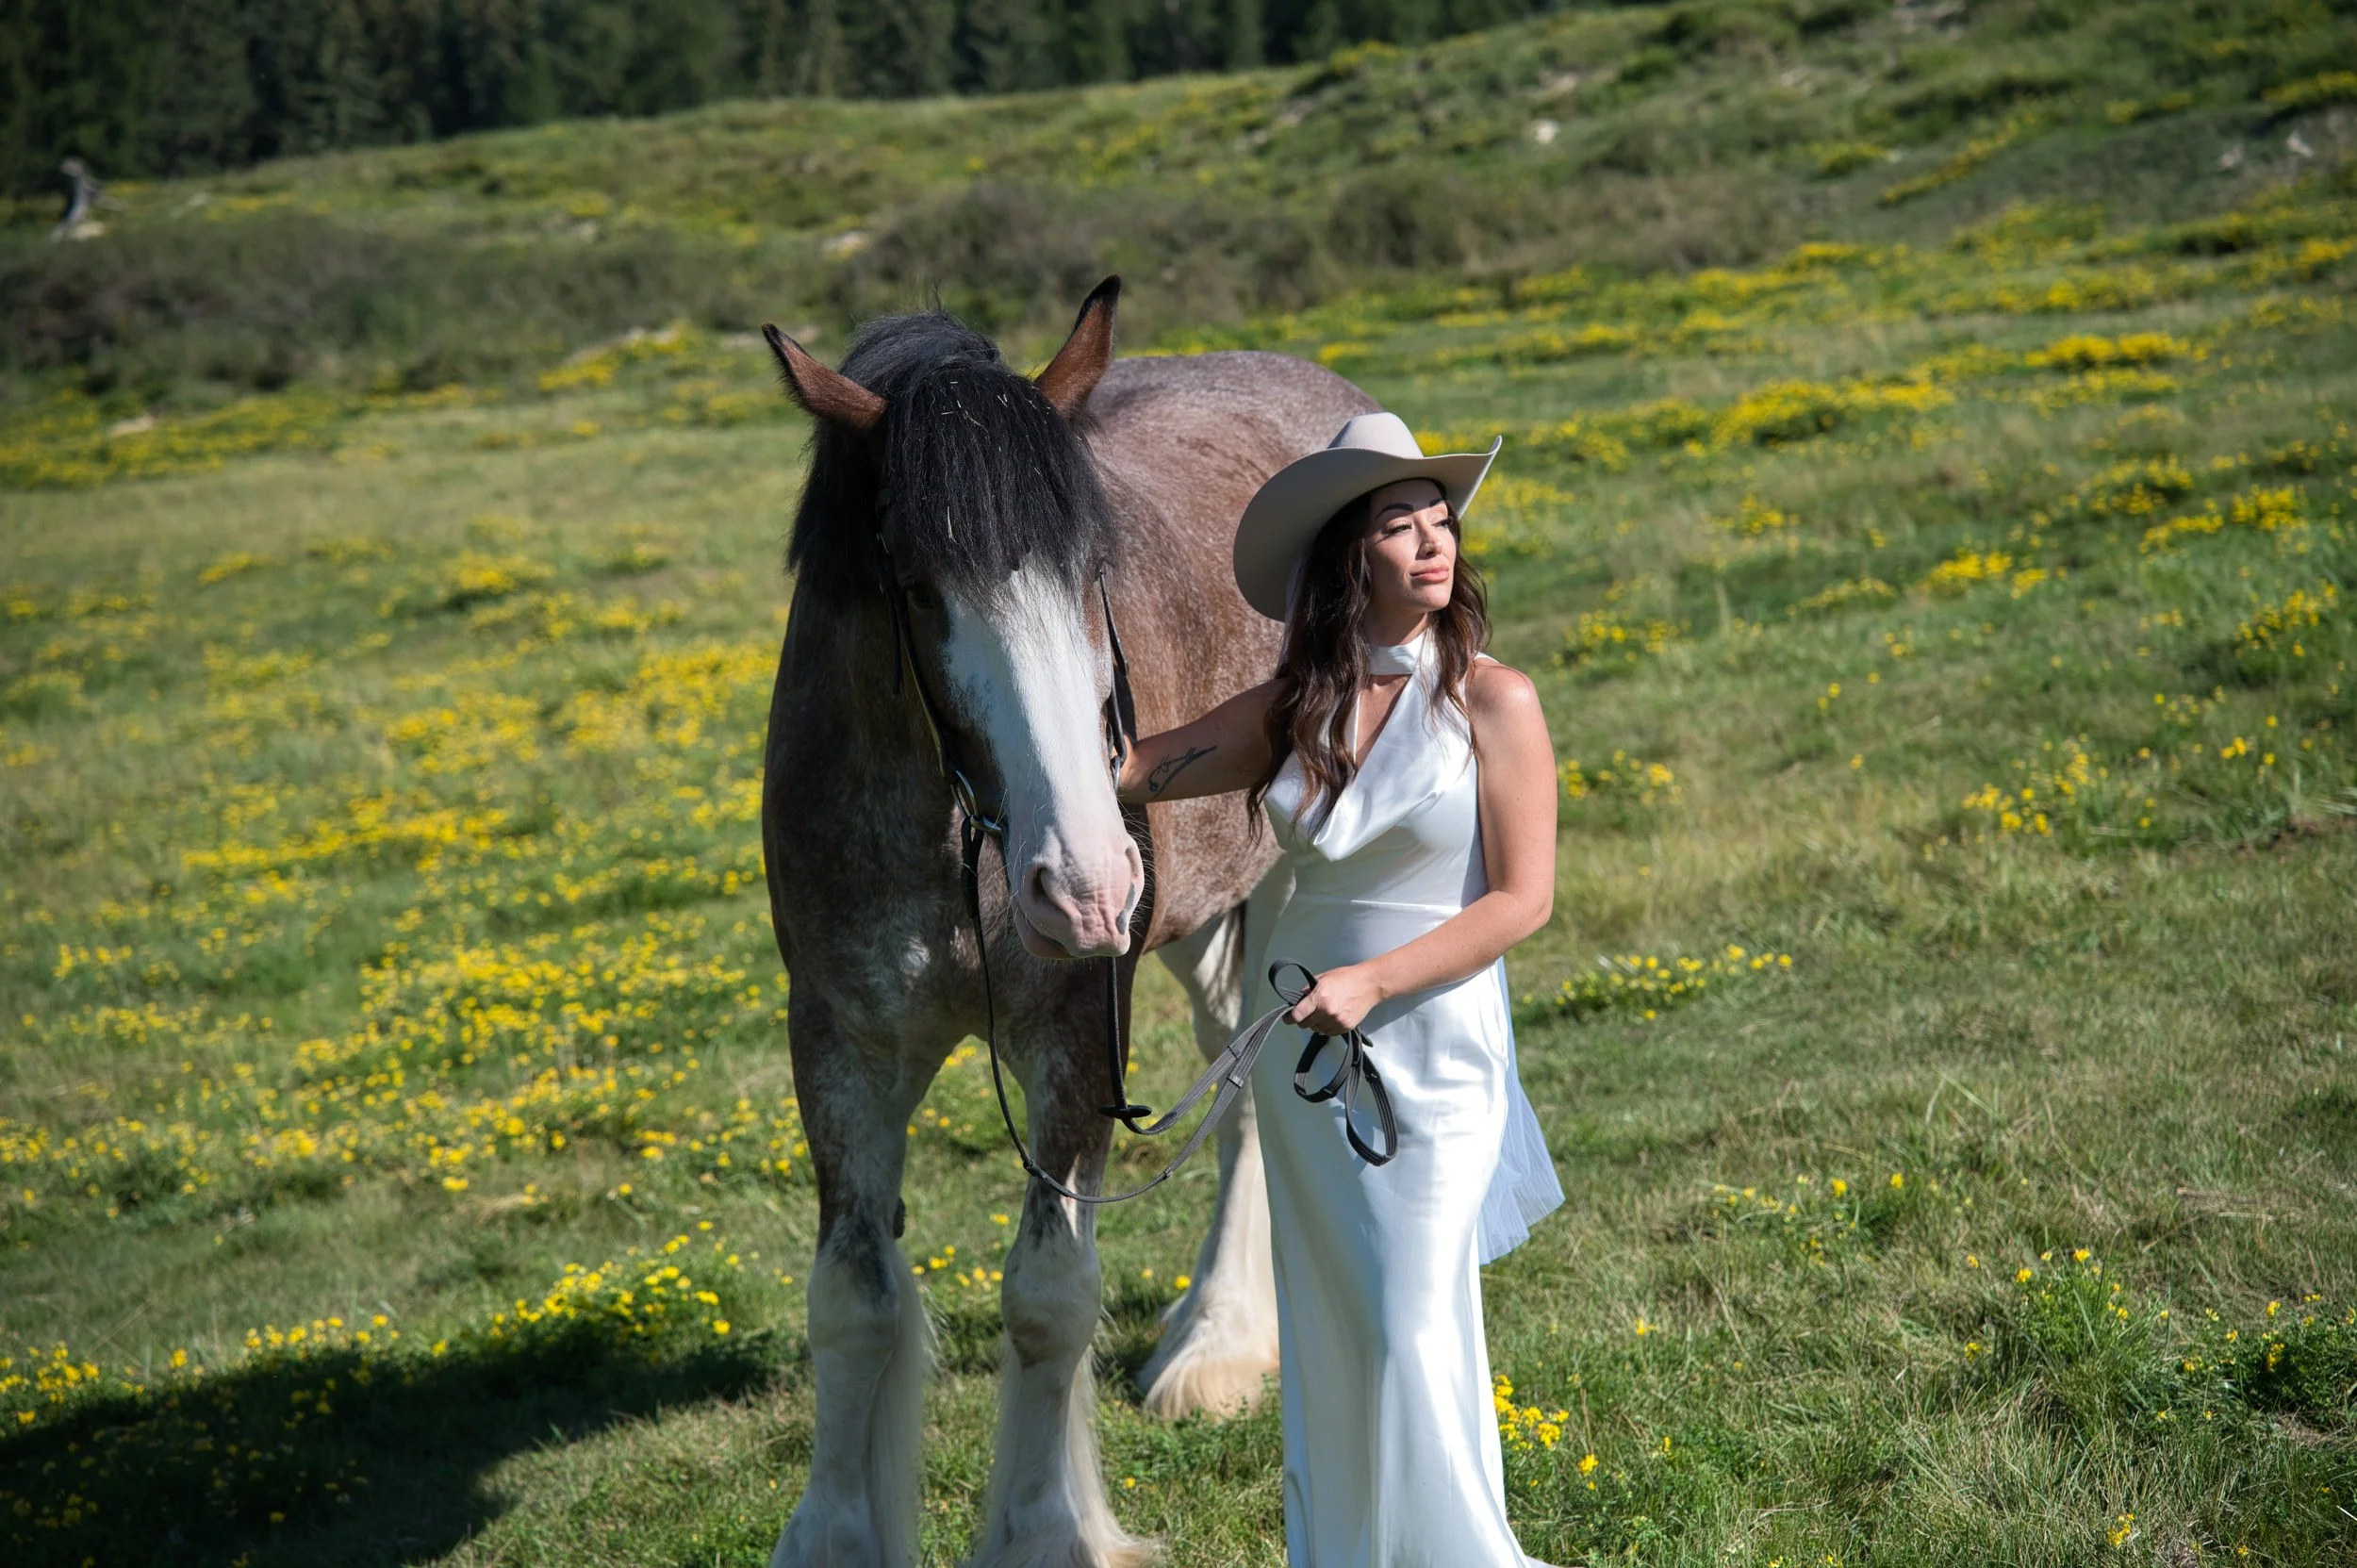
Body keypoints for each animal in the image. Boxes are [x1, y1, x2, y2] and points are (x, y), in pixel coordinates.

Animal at [759, 277, 1379, 1568]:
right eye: (915, 584)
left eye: (1091, 566)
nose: (1085, 884)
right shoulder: (838, 1041)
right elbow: (853, 1301)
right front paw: (837, 1531)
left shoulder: (1074, 1037)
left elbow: (1047, 1295)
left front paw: (1046, 1527)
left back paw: (1218, 1341)